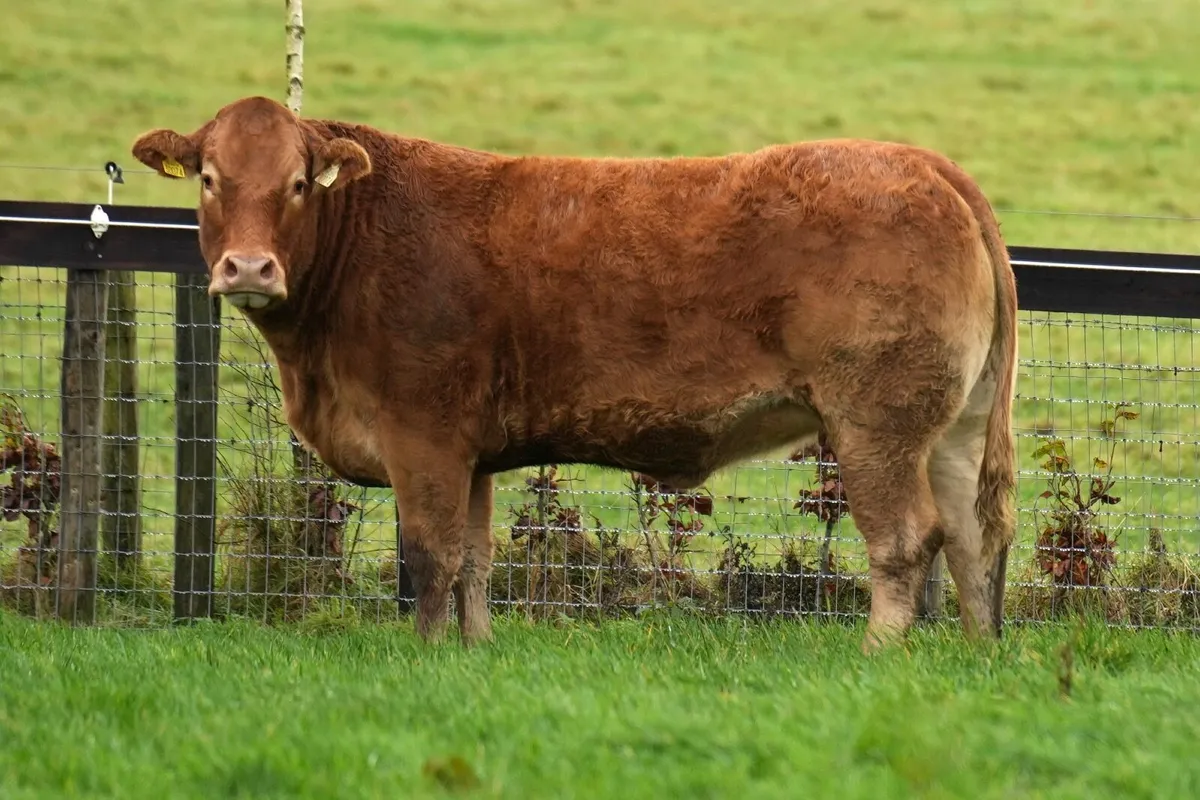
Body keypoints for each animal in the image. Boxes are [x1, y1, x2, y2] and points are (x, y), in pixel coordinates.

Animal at [131, 95, 1018, 653]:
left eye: (294, 183)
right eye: (210, 178)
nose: (250, 267)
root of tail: (921, 162)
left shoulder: (423, 433)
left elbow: (430, 554)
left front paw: (421, 652)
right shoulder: (473, 453)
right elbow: (476, 558)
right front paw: (474, 650)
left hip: (875, 421)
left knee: (907, 538)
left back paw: (879, 653)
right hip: (955, 426)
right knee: (974, 535)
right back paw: (976, 652)